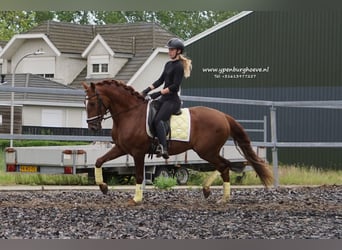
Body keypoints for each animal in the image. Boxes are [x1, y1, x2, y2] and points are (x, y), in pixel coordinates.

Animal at [82, 79, 272, 205]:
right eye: (85, 103)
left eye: (93, 103)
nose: (92, 127)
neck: (130, 113)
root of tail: (223, 116)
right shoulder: (121, 148)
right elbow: (99, 161)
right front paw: (103, 187)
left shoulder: (137, 152)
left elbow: (139, 175)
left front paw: (136, 199)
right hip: (209, 151)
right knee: (224, 165)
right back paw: (215, 194)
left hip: (207, 151)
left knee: (224, 165)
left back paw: (220, 197)